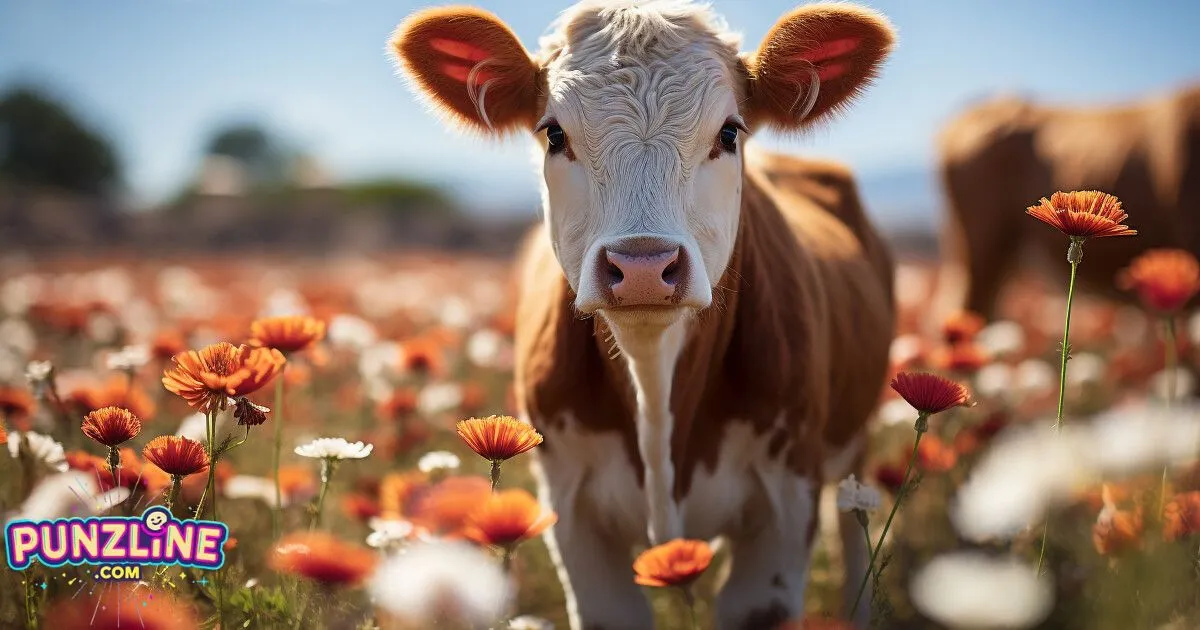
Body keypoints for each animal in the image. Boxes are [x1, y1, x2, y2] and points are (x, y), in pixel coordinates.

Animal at [389, 2, 897, 629]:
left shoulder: (787, 504)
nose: (643, 267)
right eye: (554, 133)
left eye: (729, 132)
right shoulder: (571, 512)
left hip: (854, 445)